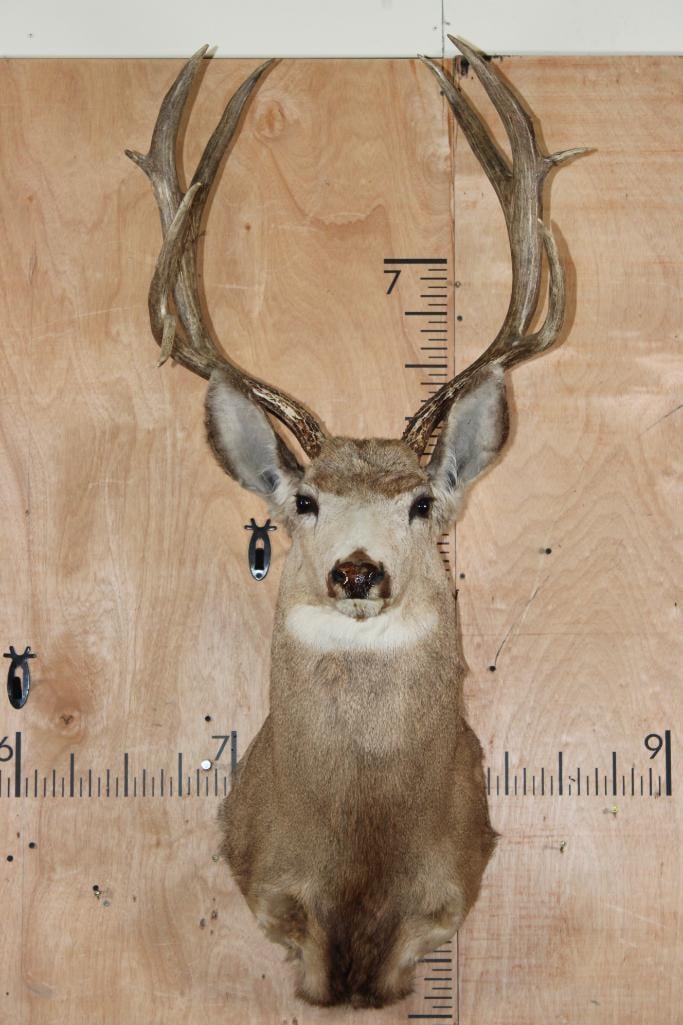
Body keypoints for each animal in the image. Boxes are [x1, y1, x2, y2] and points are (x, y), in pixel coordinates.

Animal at [126, 36, 584, 1009]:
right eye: (302, 501)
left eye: (421, 501)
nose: (357, 570)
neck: (361, 853)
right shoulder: (271, 890)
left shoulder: (447, 893)